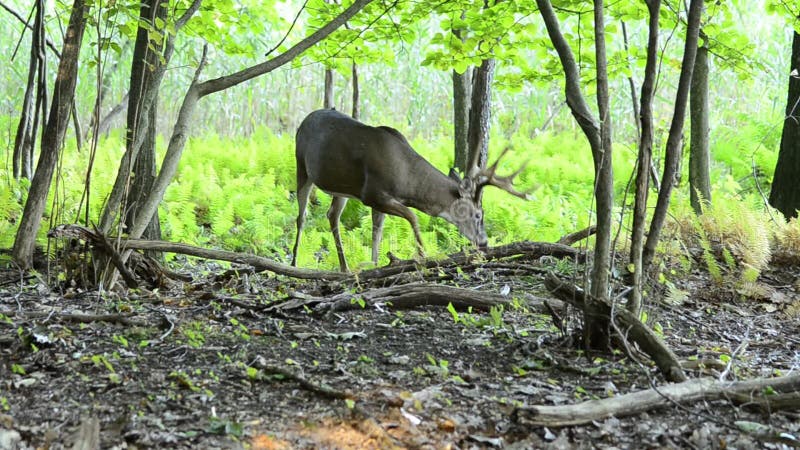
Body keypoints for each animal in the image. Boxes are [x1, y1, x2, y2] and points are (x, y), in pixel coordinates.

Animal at [290, 109, 528, 270]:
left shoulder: (374, 199)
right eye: (478, 214)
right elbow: (412, 217)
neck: (407, 180)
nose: (484, 241)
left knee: (332, 215)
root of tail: (304, 120)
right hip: (301, 166)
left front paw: (375, 264)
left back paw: (345, 267)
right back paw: (293, 263)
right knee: (301, 216)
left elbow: (377, 232)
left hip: (341, 186)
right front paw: (423, 254)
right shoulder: (373, 194)